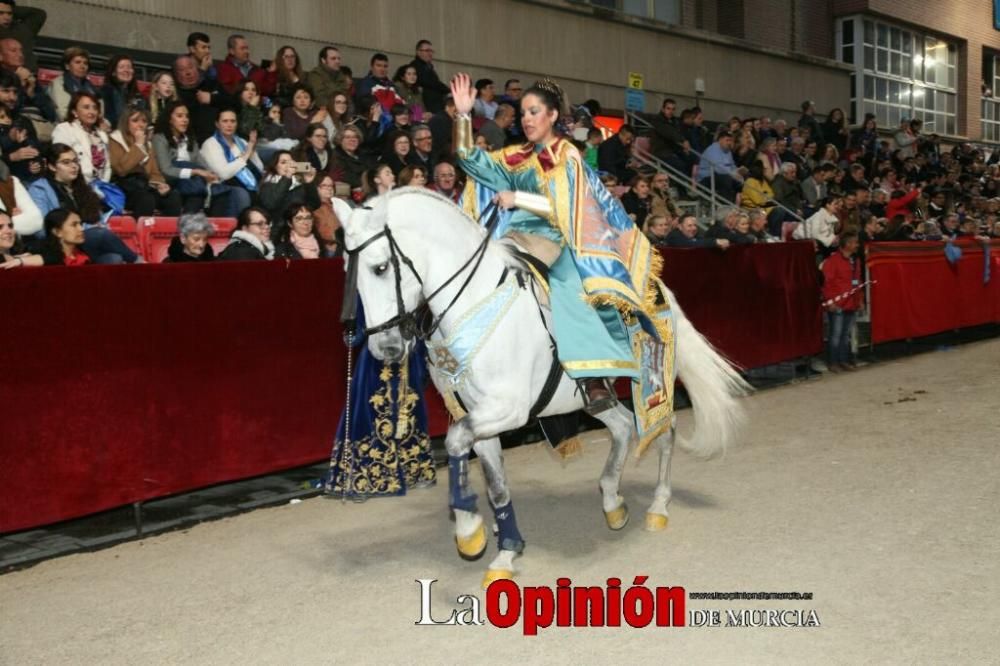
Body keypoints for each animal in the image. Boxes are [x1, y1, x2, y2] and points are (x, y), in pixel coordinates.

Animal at [336, 188, 752, 588]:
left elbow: (454, 442)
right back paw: (613, 502)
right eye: (347, 271)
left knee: (664, 433)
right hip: (594, 398)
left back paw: (658, 508)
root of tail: (656, 284)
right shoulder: (479, 418)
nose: (385, 348)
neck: (475, 302)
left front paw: (469, 532)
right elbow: (496, 486)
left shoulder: (507, 409)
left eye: (380, 268)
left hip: (654, 386)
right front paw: (505, 552)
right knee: (621, 428)